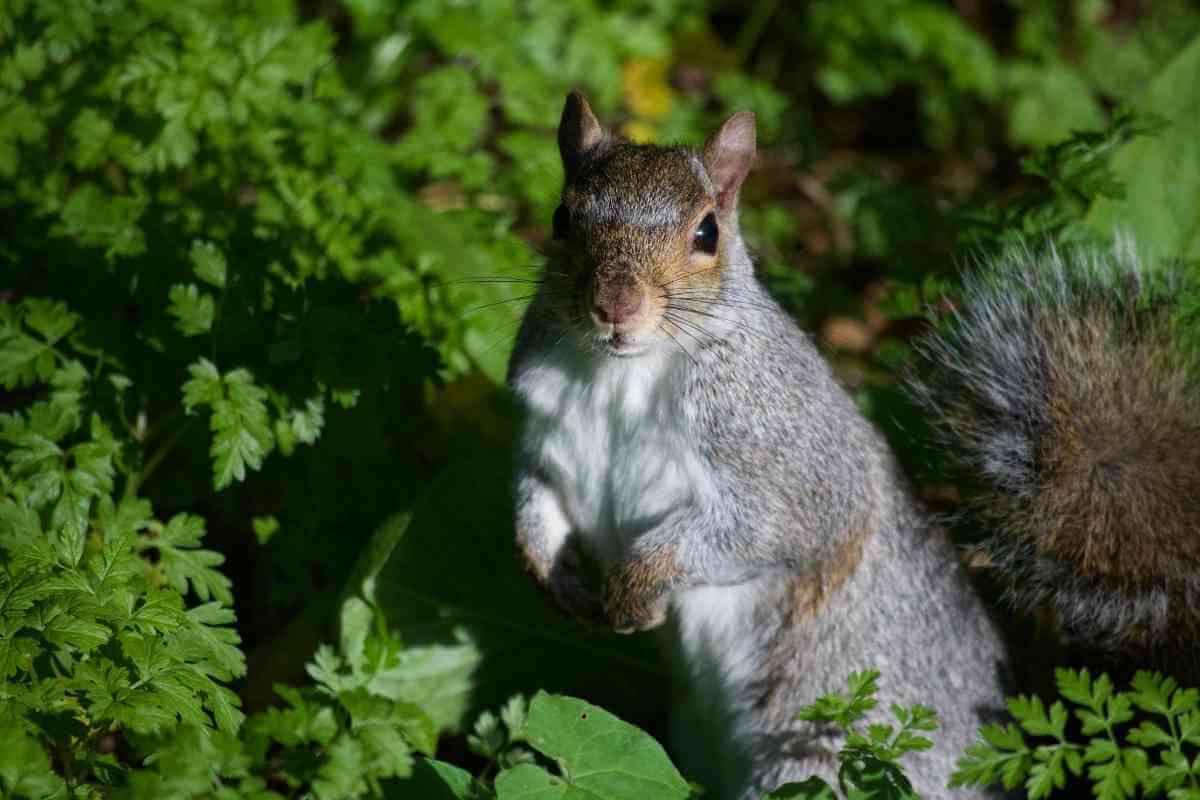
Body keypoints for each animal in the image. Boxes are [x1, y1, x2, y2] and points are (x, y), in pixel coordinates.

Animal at [507, 91, 1007, 800]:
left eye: (707, 233)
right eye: (561, 217)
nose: (616, 306)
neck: (621, 373)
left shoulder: (791, 460)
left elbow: (767, 531)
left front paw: (635, 589)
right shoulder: (549, 433)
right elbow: (535, 500)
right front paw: (555, 577)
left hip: (819, 765)